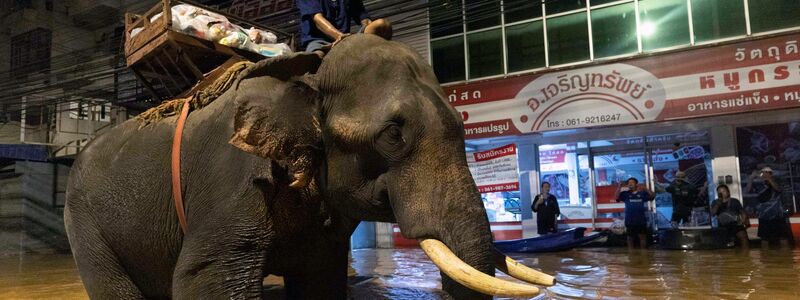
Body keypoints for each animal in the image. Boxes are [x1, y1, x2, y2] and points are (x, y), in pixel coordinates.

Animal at [64, 34, 552, 298]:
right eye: (393, 134)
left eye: (463, 125)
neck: (310, 70)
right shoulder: (235, 181)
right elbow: (208, 277)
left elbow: (319, 280)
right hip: (84, 225)